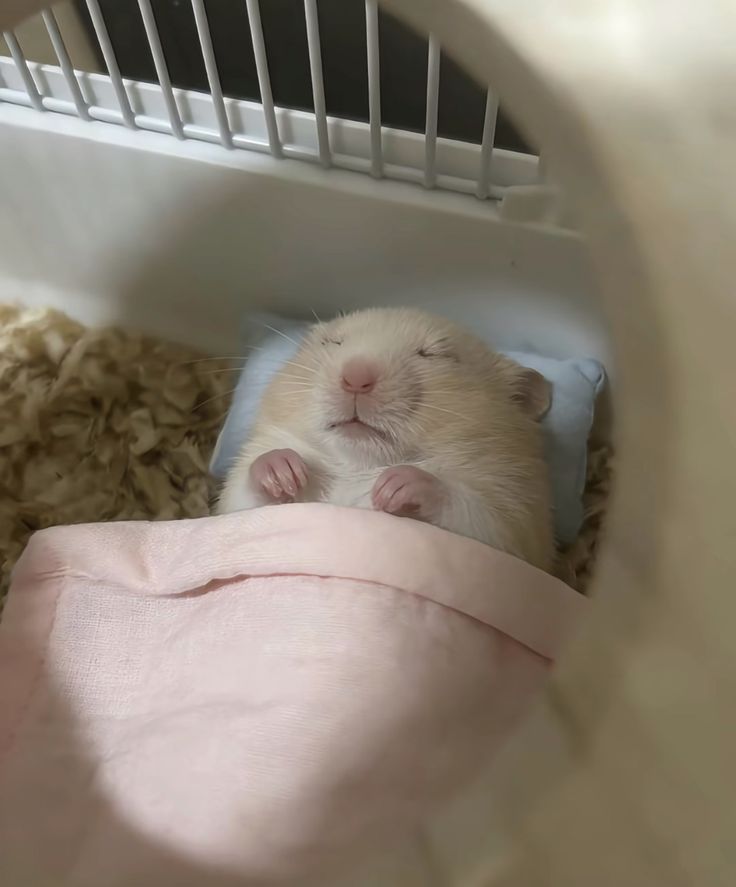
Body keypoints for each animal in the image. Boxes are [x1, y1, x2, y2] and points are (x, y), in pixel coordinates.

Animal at [217, 308, 555, 570]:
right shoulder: (240, 506)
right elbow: (245, 496)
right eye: (333, 342)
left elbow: (466, 508)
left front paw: (391, 488)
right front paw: (285, 471)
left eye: (433, 354)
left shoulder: (512, 520)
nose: (355, 379)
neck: (359, 463)